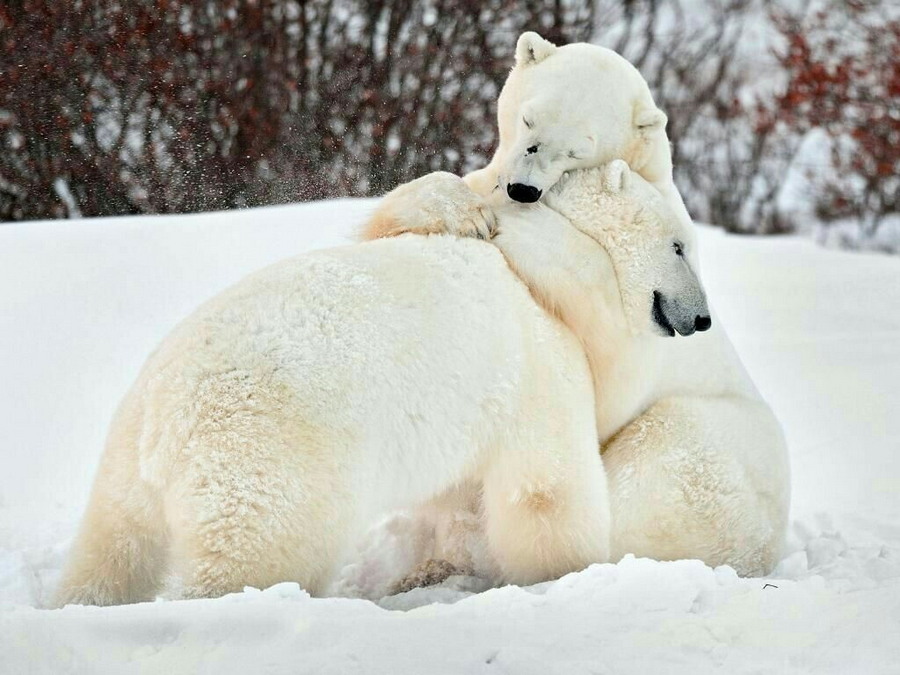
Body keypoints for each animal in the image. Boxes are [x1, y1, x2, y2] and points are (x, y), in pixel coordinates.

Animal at [52, 162, 704, 608]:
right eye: (679, 246)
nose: (702, 319)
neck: (551, 275)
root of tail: (165, 420)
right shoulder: (539, 365)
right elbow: (546, 488)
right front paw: (566, 574)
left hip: (123, 466)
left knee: (112, 547)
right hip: (269, 460)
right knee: (254, 554)